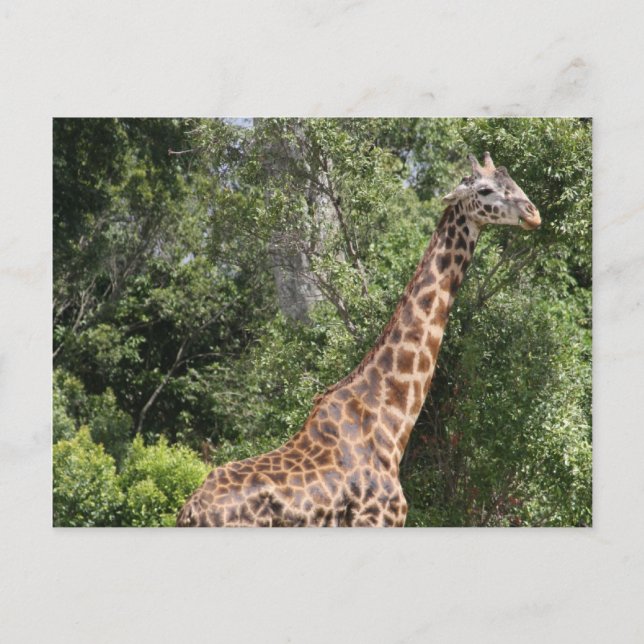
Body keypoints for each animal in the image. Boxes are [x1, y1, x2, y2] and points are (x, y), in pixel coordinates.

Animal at [177, 152, 541, 527]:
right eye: (485, 190)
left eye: (512, 181)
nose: (533, 213)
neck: (389, 422)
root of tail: (189, 512)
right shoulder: (378, 519)